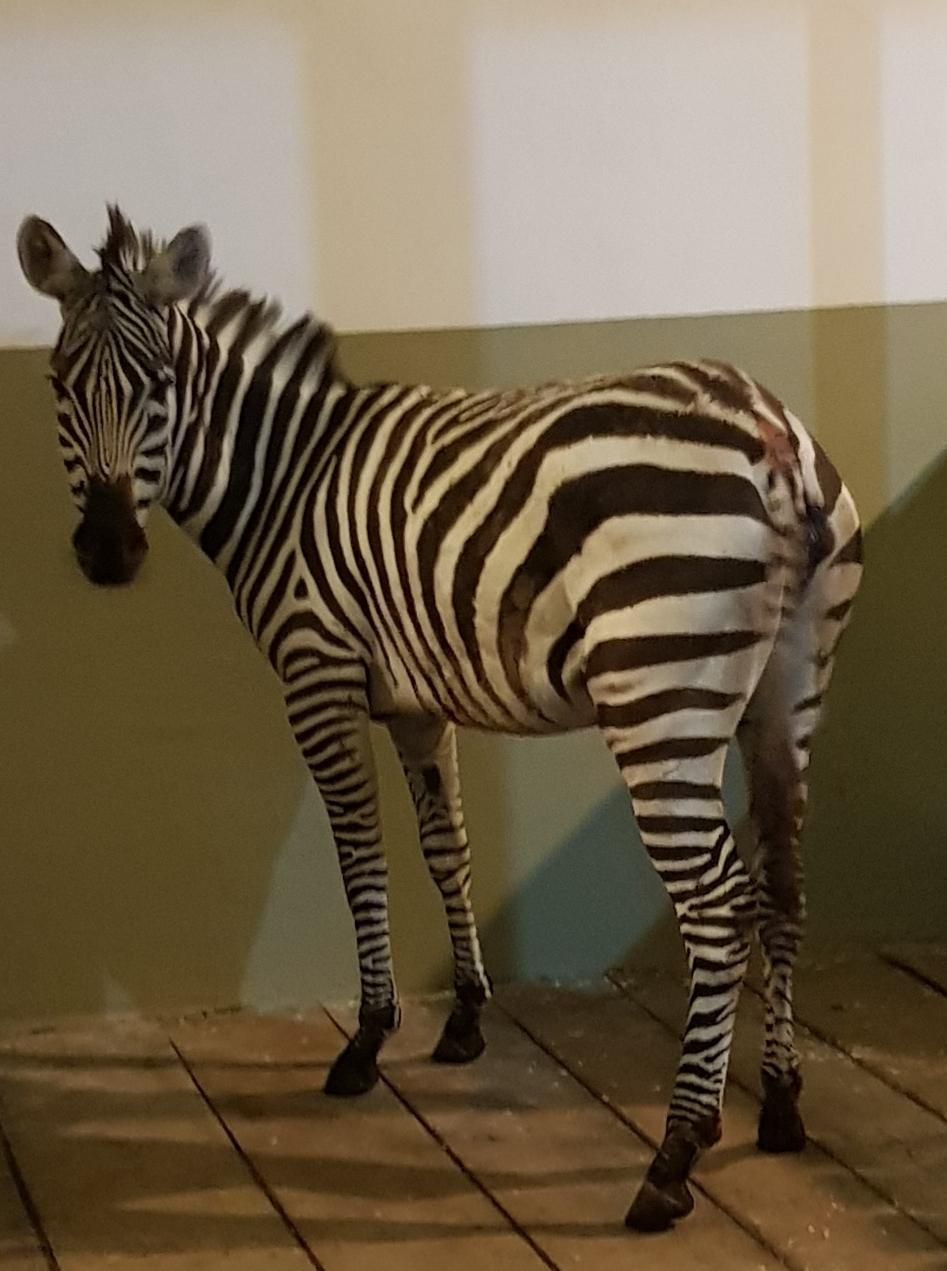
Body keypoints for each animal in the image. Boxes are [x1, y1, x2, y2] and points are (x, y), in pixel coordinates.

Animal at [17, 207, 862, 1233]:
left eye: (160, 388)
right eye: (60, 386)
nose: (107, 551)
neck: (282, 482)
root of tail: (769, 428)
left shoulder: (318, 673)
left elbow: (361, 856)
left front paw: (368, 1038)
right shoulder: (420, 702)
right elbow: (444, 845)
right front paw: (463, 1017)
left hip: (658, 698)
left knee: (716, 904)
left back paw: (674, 1153)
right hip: (788, 689)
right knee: (782, 883)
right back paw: (778, 1103)